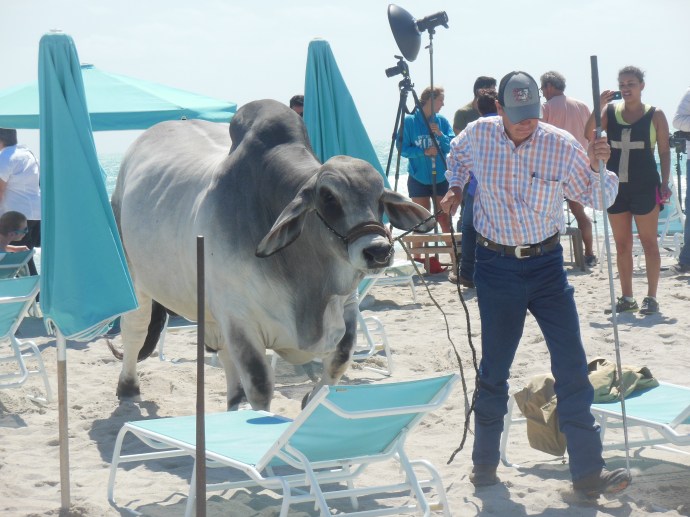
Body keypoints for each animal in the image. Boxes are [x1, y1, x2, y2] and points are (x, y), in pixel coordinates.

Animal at [110, 99, 434, 411]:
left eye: (379, 196)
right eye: (328, 197)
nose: (378, 250)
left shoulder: (346, 305)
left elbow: (340, 360)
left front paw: (310, 398)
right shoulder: (240, 318)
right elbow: (260, 383)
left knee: (222, 352)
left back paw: (235, 401)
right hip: (137, 280)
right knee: (135, 329)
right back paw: (128, 388)